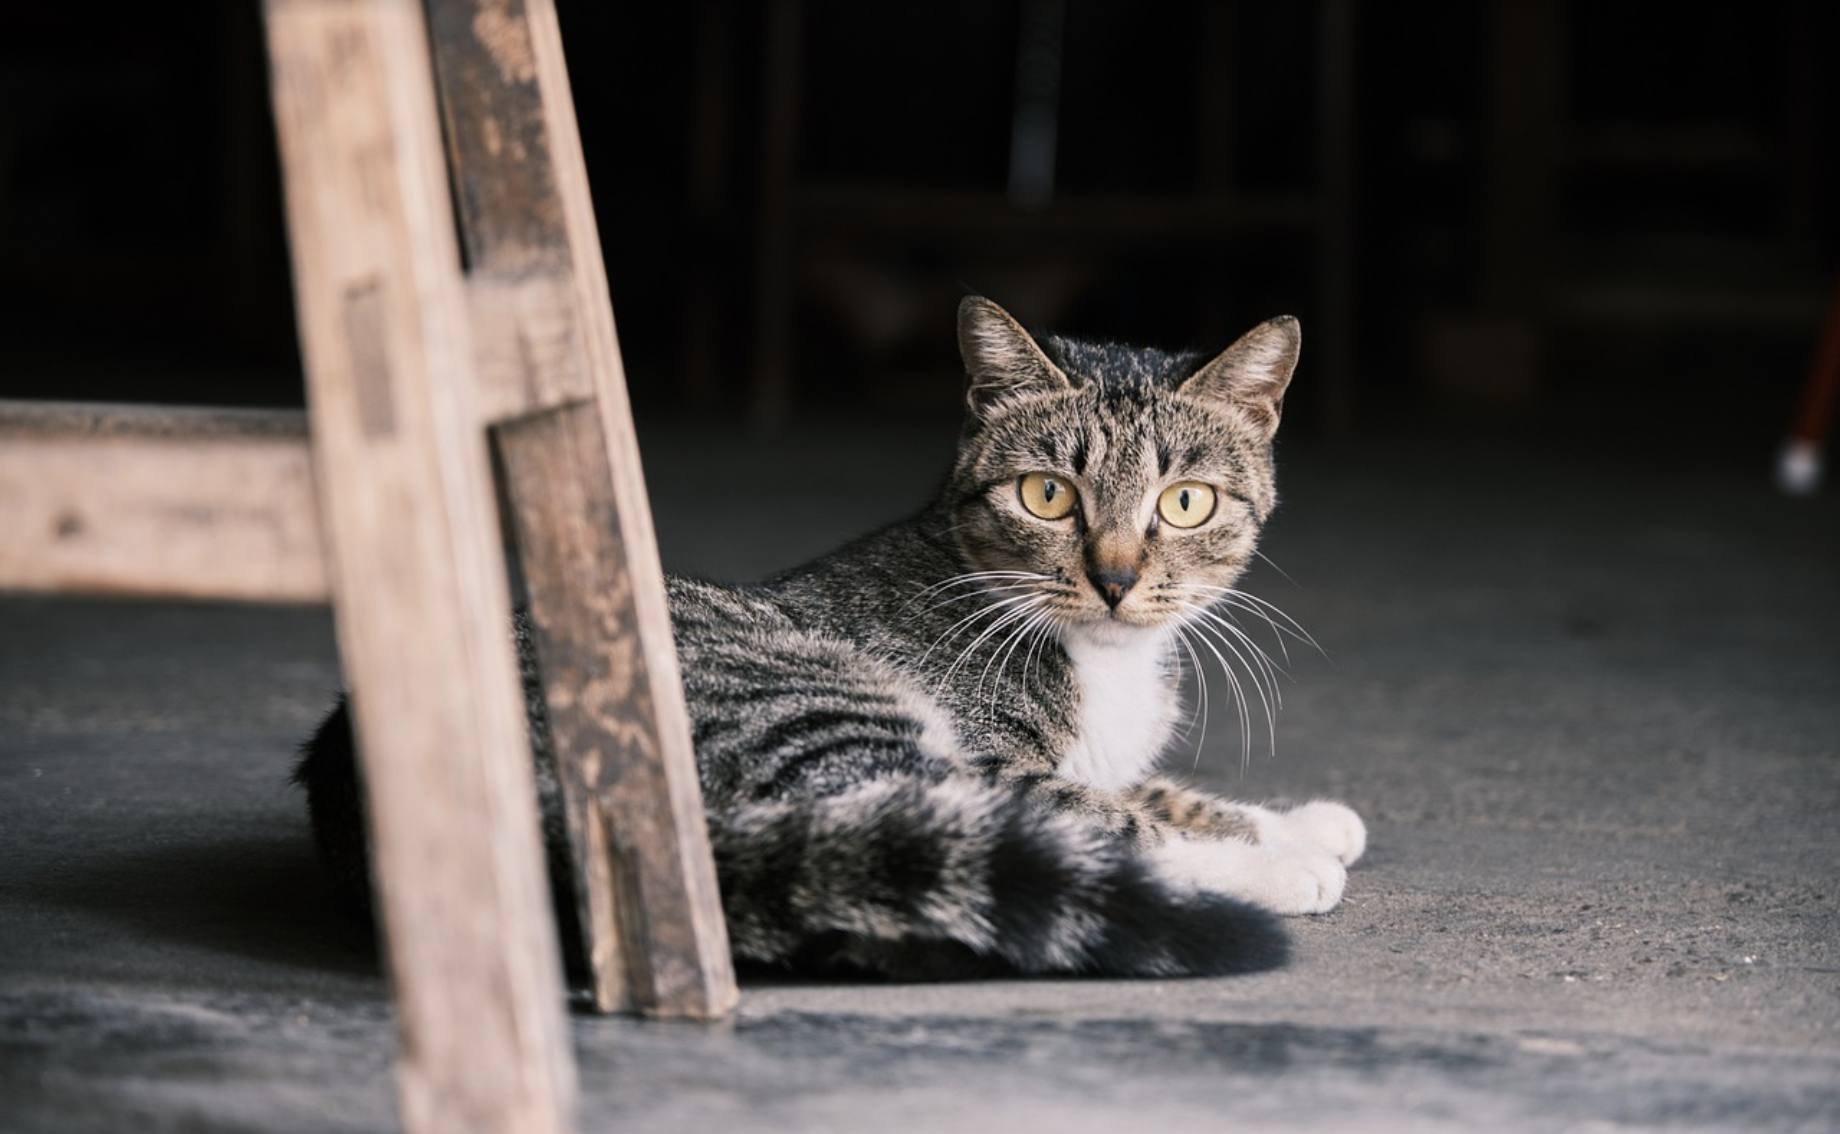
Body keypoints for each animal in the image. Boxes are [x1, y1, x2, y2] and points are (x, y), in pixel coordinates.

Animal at [294, 296, 1365, 981]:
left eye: (1185, 503)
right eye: (1047, 495)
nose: (1114, 579)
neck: (1101, 662)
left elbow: (1152, 793)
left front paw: (1300, 821)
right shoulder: (993, 765)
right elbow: (1110, 817)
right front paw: (1283, 862)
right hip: (819, 710)